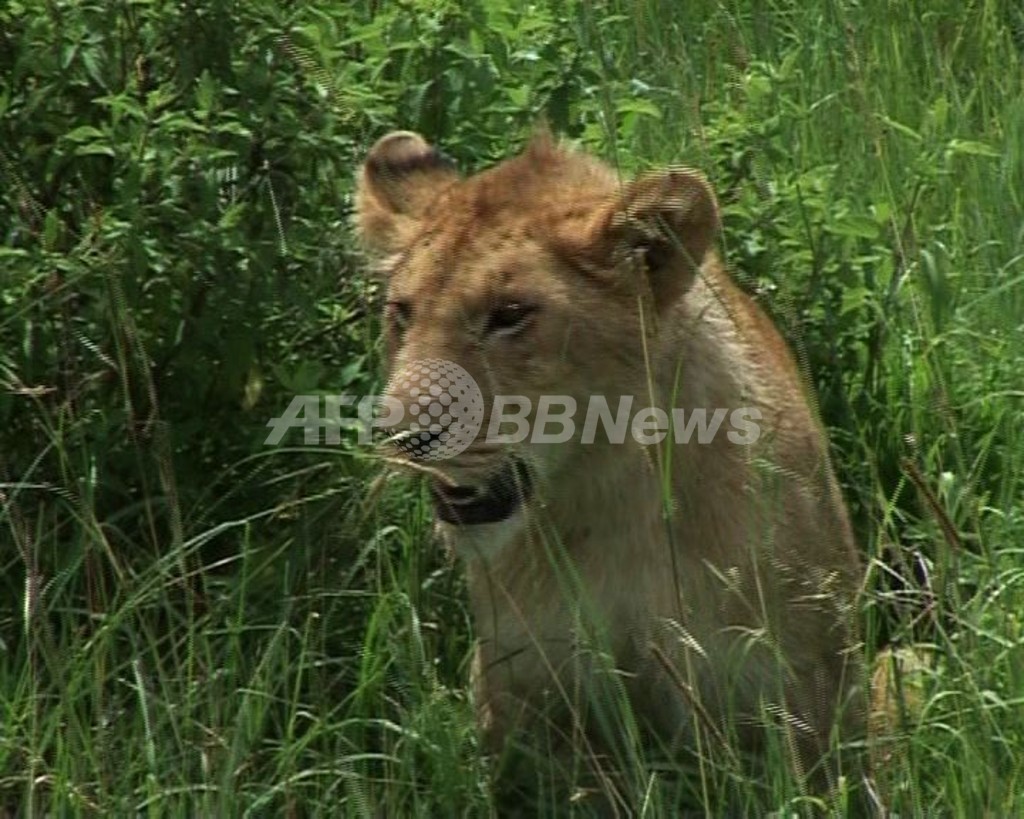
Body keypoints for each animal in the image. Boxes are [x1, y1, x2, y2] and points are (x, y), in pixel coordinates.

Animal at [352, 131, 864, 810]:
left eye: (509, 313)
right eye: (403, 313)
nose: (403, 436)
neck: (606, 495)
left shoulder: (801, 698)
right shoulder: (523, 692)